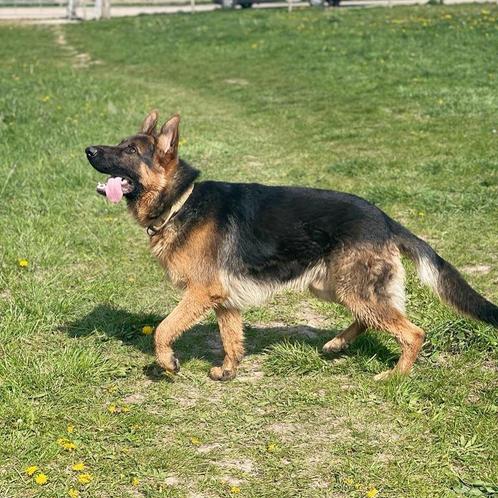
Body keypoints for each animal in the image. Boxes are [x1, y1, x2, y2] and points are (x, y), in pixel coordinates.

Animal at [85, 110, 498, 382]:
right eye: (119, 145)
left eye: (130, 151)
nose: (88, 150)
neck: (181, 201)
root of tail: (384, 219)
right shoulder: (224, 300)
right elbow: (231, 337)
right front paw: (229, 370)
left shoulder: (200, 293)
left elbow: (163, 329)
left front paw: (168, 364)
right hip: (332, 287)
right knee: (370, 319)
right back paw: (337, 345)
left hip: (352, 289)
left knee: (412, 332)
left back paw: (394, 375)